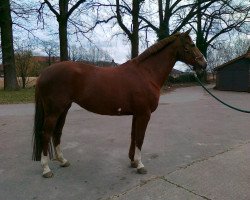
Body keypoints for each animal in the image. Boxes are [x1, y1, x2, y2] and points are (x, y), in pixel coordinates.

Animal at [32, 29, 206, 177]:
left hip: (63, 109)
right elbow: (140, 138)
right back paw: (46, 169)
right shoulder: (144, 114)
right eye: (192, 45)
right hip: (54, 111)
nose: (204, 64)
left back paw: (63, 161)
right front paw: (140, 165)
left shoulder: (137, 114)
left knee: (57, 132)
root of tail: (43, 73)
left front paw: (133, 161)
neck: (146, 73)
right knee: (46, 134)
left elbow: (133, 136)